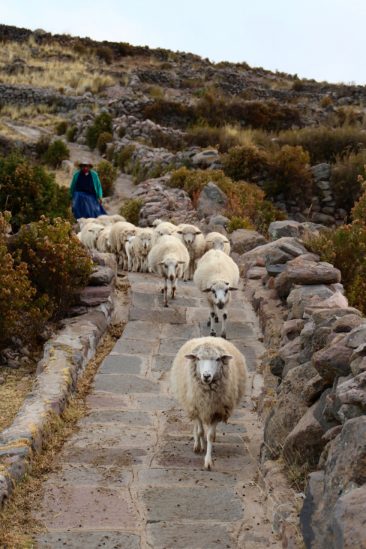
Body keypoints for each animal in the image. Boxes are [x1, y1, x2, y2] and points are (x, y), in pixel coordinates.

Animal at [170, 336, 247, 468]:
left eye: (218, 359)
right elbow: (201, 431)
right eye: (198, 358)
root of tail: (210, 337)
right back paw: (197, 443)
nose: (206, 376)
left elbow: (209, 436)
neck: (208, 395)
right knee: (197, 427)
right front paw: (200, 445)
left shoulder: (217, 411)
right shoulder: (196, 406)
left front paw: (208, 461)